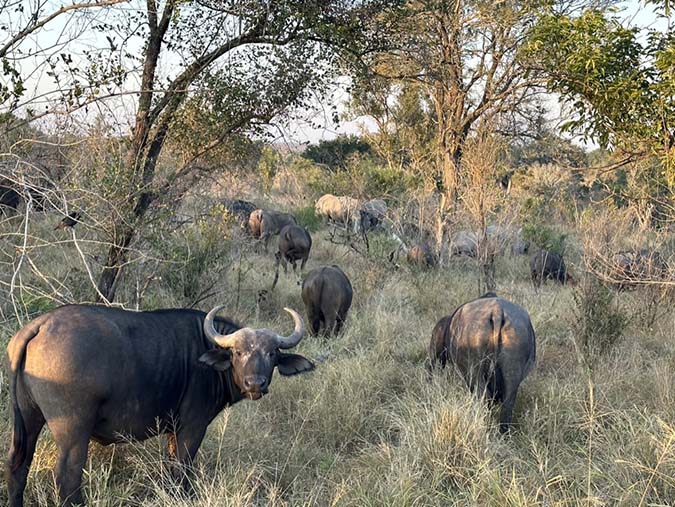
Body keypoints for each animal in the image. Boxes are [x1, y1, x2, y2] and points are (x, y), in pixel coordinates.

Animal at [5, 304, 312, 506]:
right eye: (237, 352)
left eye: (272, 354)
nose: (255, 384)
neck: (205, 354)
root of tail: (41, 325)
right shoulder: (192, 428)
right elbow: (182, 471)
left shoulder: (172, 431)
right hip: (73, 431)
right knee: (67, 479)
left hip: (28, 421)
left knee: (18, 467)